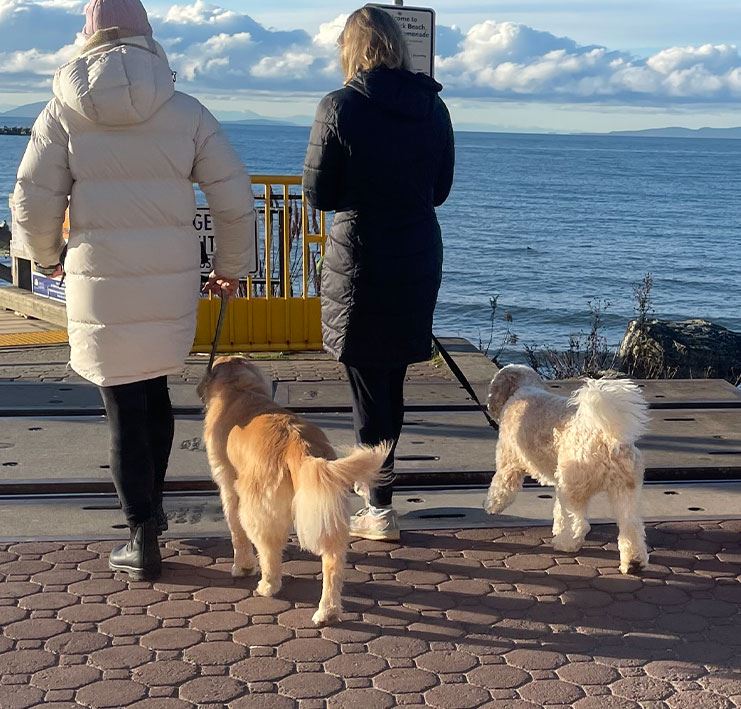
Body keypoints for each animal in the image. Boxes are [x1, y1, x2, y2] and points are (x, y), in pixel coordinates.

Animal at [486, 362, 648, 572]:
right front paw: (558, 526)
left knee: (579, 523)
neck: (523, 389)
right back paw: (634, 561)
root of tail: (607, 438)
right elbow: (558, 511)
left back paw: (565, 543)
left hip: (573, 487)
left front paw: (492, 506)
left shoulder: (508, 463)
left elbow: (501, 488)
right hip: (624, 492)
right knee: (631, 527)